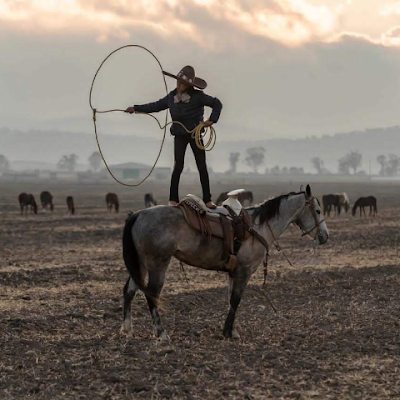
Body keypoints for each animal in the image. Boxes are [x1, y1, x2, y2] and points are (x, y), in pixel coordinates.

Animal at [122, 184, 328, 338]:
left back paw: (127, 330)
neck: (257, 227)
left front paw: (232, 330)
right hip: (157, 265)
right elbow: (236, 299)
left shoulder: (233, 272)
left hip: (141, 265)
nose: (325, 236)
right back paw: (161, 333)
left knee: (129, 291)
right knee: (152, 294)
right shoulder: (244, 271)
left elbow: (231, 299)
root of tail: (138, 214)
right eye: (318, 210)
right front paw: (228, 332)